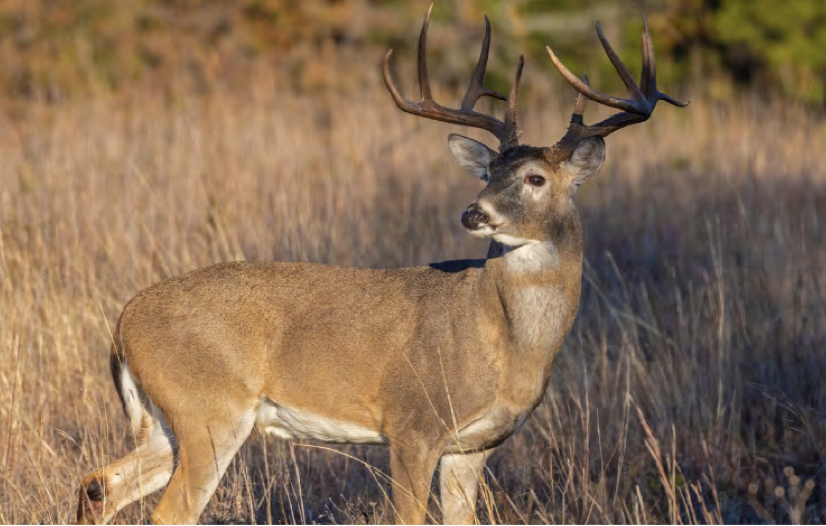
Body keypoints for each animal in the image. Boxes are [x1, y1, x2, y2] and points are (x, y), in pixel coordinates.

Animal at [77, 6, 686, 525]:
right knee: (166, 510)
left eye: (535, 178)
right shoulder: (412, 423)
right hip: (209, 409)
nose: (473, 212)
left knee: (98, 484)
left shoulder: (473, 447)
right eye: (487, 174)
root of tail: (124, 322)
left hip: (164, 423)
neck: (505, 340)